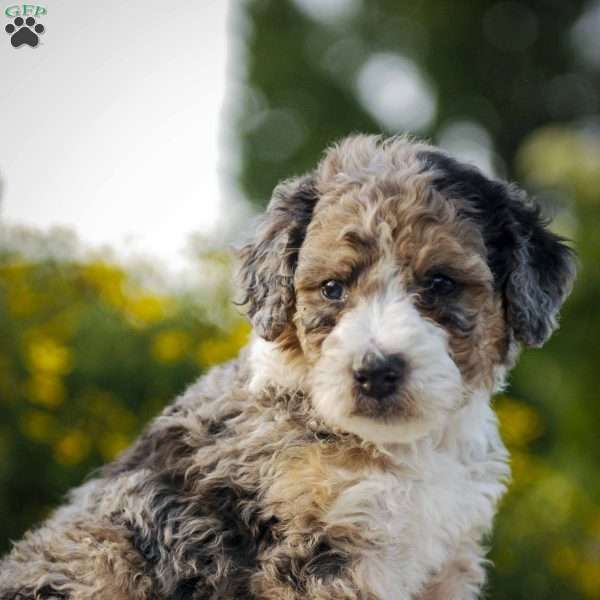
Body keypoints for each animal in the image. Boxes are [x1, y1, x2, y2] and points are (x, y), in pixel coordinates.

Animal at [0, 136, 576, 600]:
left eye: (440, 282)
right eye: (332, 288)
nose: (376, 372)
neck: (400, 452)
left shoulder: (446, 560)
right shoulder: (317, 556)